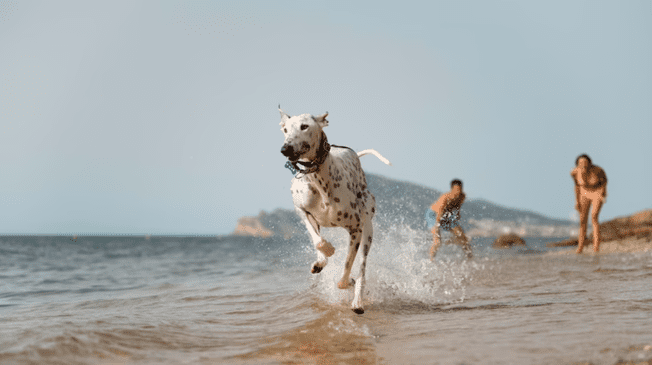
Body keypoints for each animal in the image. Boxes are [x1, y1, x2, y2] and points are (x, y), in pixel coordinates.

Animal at [278, 106, 390, 312]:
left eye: (304, 126)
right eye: (285, 129)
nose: (285, 149)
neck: (318, 179)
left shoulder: (356, 229)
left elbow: (346, 272)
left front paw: (349, 281)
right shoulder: (302, 211)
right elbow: (319, 242)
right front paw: (327, 252)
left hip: (368, 230)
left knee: (362, 268)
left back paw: (358, 300)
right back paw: (321, 262)